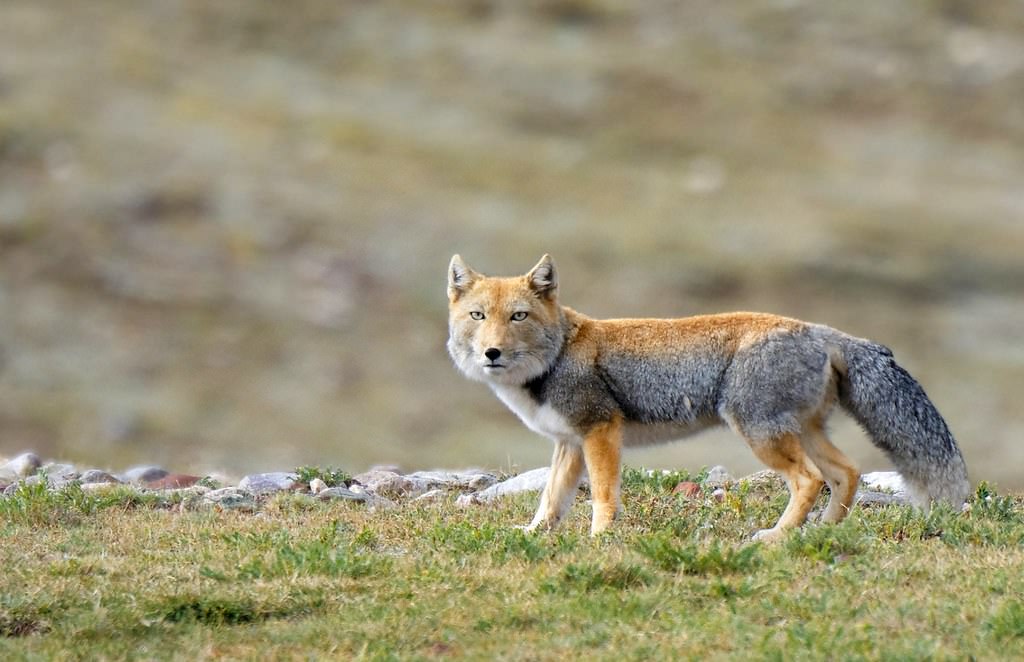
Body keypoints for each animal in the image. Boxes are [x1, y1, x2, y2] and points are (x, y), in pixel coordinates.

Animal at [446, 254, 966, 541]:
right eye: (478, 315)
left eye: (518, 316)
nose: (492, 352)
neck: (556, 355)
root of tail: (820, 329)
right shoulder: (569, 443)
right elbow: (551, 501)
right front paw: (535, 535)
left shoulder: (600, 432)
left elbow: (604, 496)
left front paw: (599, 539)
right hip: (800, 432)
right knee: (846, 473)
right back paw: (819, 531)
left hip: (760, 433)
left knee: (811, 479)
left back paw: (776, 537)